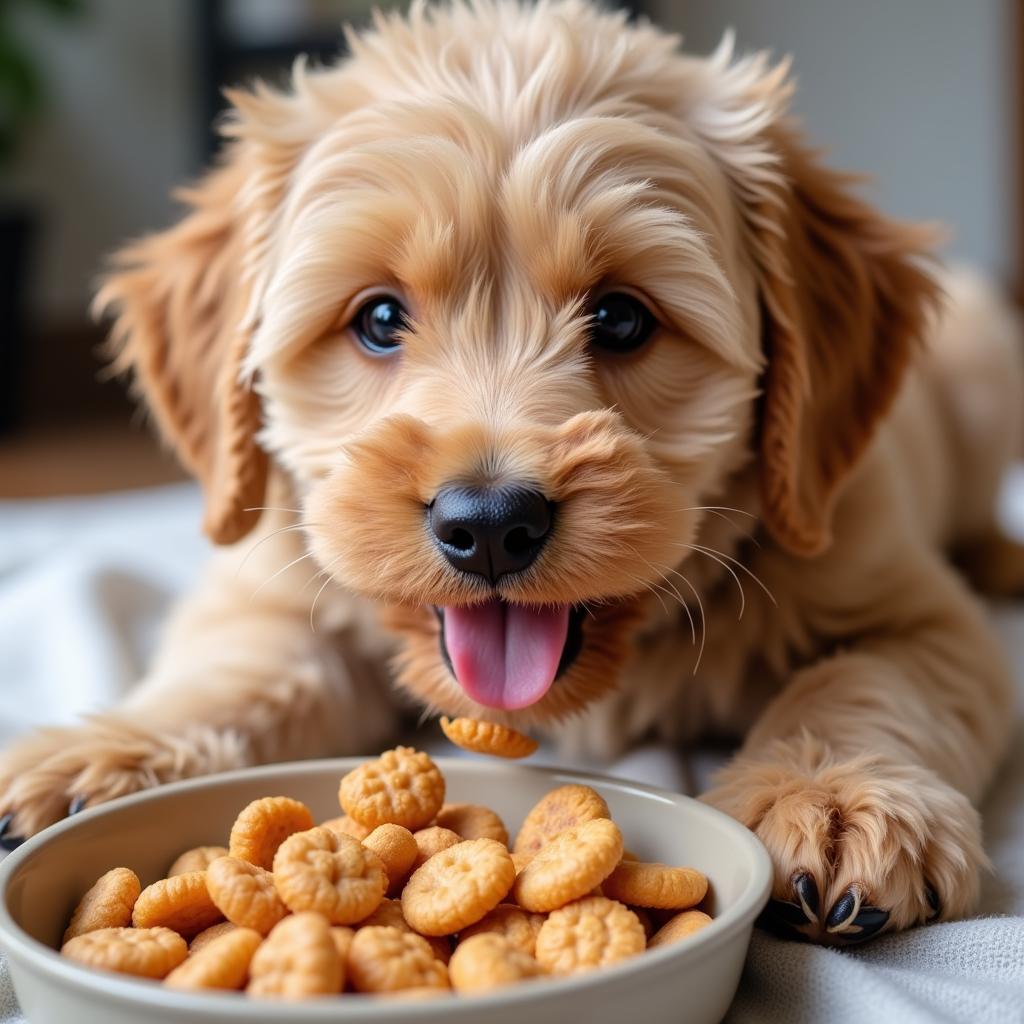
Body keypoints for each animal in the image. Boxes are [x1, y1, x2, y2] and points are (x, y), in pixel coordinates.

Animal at [4, 0, 1019, 942]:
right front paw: (105, 759)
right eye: (379, 318)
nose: (489, 523)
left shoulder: (918, 611)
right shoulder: (267, 585)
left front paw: (838, 798)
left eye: (621, 317)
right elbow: (240, 672)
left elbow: (865, 682)